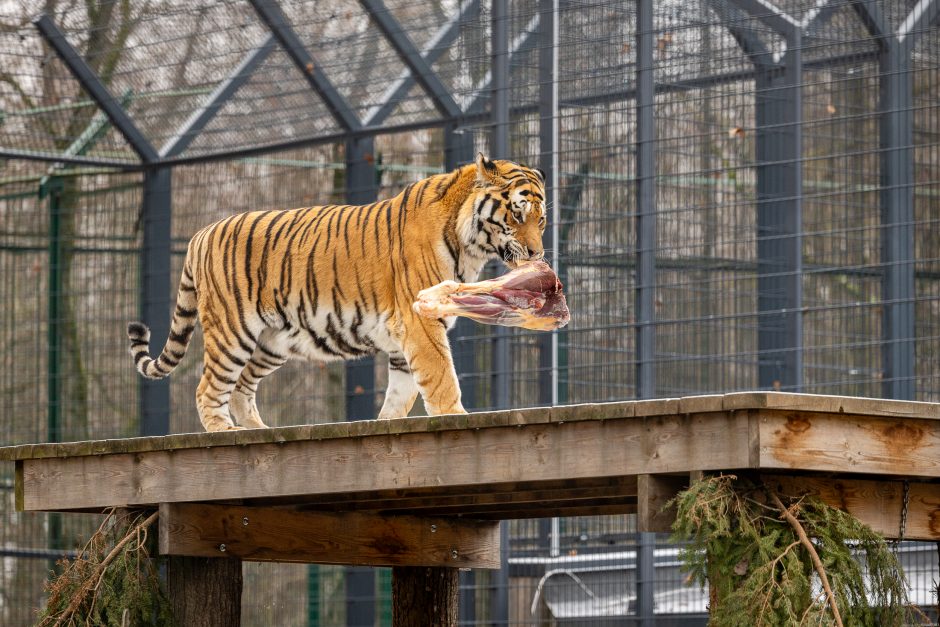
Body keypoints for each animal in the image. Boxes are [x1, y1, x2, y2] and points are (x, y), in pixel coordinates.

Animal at [129, 155, 548, 434]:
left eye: (540, 220)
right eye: (516, 214)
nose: (535, 253)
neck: (470, 245)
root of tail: (200, 234)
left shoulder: (403, 339)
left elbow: (401, 394)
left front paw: (385, 426)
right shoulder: (420, 322)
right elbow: (441, 377)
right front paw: (455, 418)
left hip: (273, 341)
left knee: (241, 387)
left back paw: (258, 431)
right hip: (233, 331)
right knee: (209, 388)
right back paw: (225, 433)